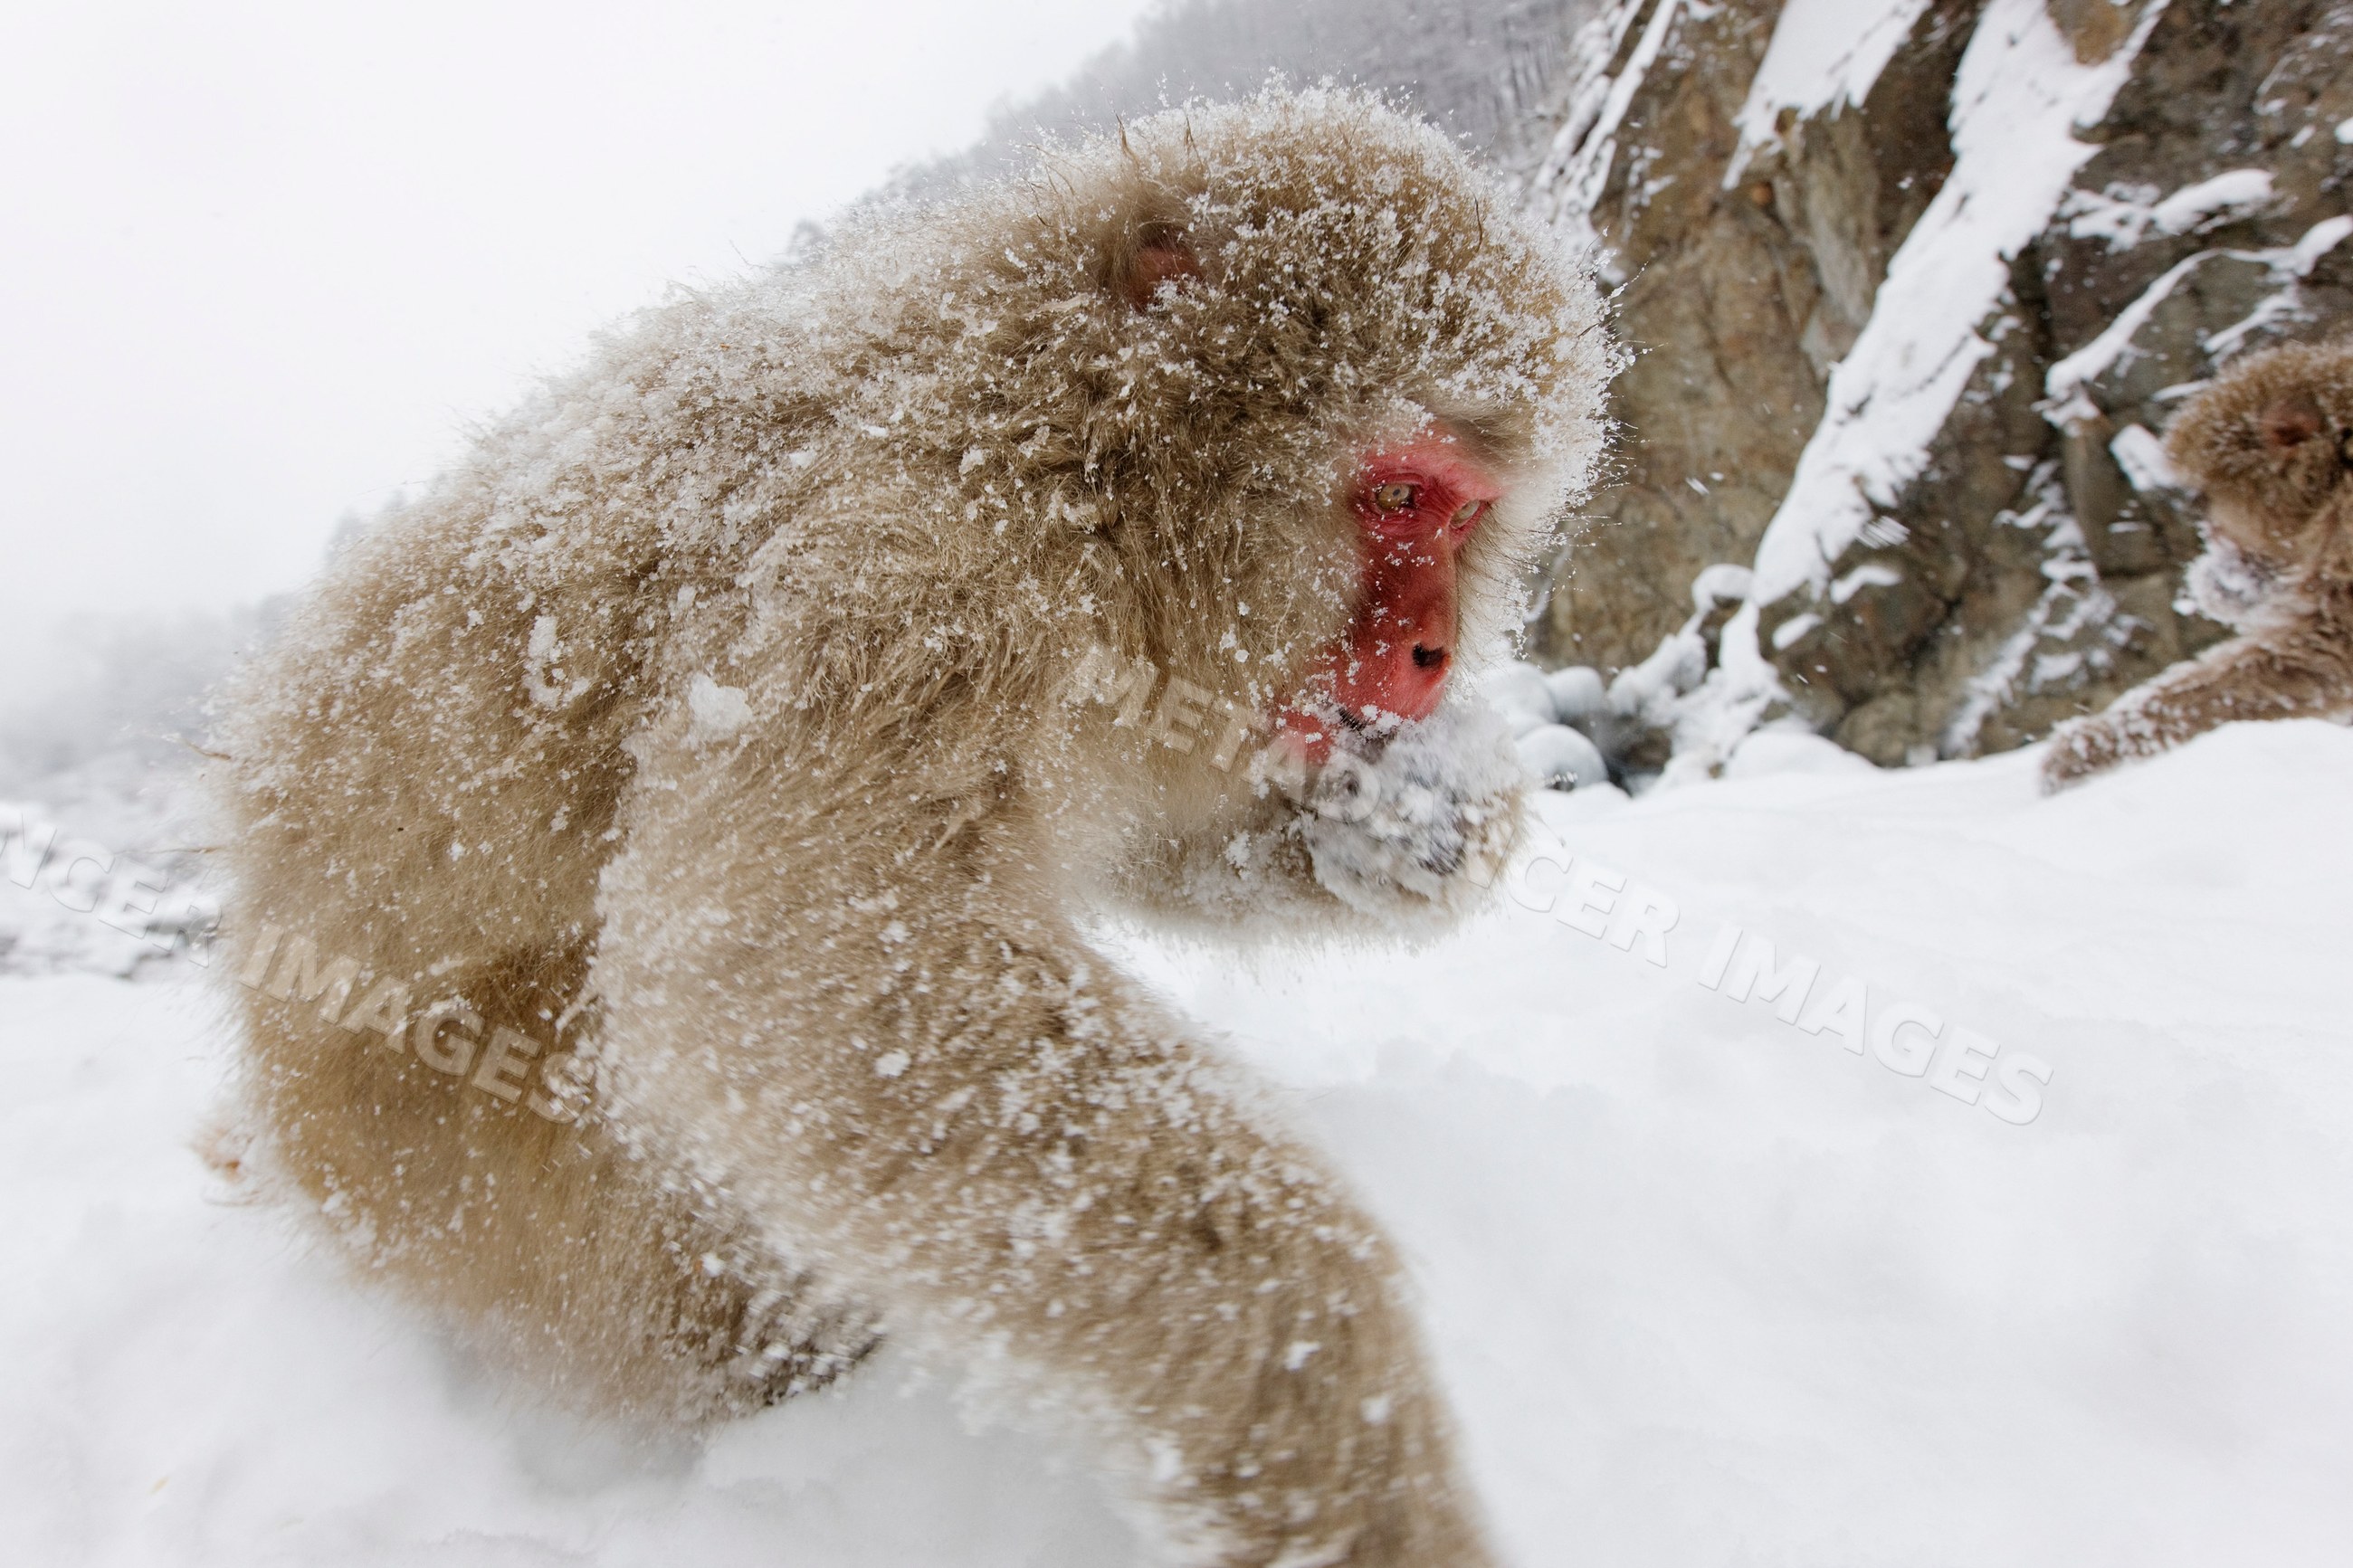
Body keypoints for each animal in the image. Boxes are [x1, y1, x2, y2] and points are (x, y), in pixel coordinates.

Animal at [208, 89, 1611, 1566]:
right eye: (1398, 497)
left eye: (1465, 517)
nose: (1431, 652)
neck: (1084, 449)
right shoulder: (917, 566)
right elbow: (789, 965)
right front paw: (1330, 1409)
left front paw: (1422, 826)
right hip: (448, 1161)